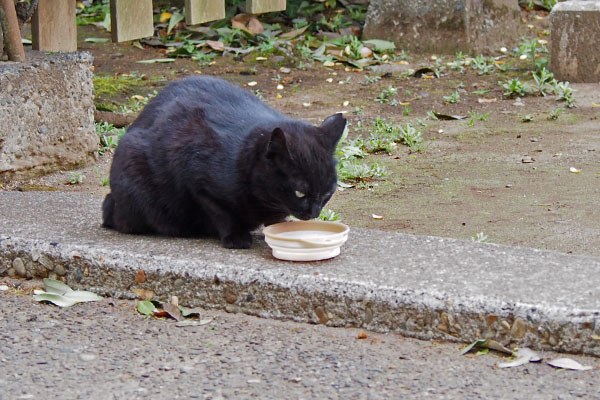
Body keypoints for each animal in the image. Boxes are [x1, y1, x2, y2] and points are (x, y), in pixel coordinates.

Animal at [102, 75, 346, 248]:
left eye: (328, 192)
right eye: (299, 192)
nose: (315, 212)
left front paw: (279, 224)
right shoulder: (198, 183)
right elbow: (222, 213)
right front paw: (236, 236)